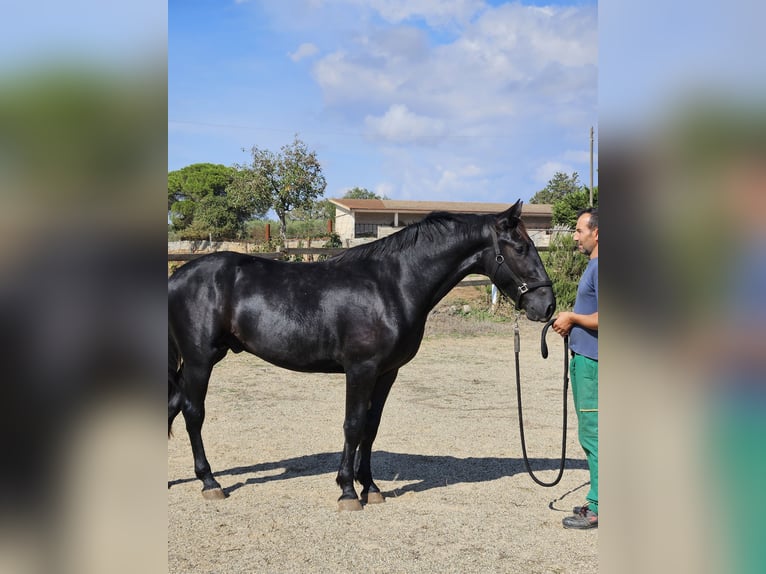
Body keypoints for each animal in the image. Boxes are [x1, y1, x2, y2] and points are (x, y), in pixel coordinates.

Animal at [170, 200, 552, 510]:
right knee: (192, 413)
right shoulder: (361, 370)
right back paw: (210, 482)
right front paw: (347, 491)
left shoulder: (386, 373)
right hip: (200, 360)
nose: (547, 306)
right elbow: (353, 426)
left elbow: (371, 426)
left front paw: (369, 486)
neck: (392, 285)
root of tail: (178, 278)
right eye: (521, 247)